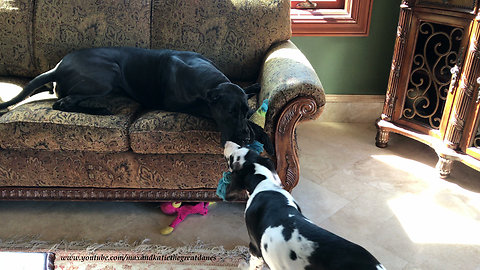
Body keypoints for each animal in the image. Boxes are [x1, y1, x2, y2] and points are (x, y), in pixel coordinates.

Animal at [0, 46, 272, 152]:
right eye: (228, 112)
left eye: (245, 111)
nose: (245, 139)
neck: (210, 81)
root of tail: (57, 67)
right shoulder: (185, 104)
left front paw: (261, 135)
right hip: (110, 72)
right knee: (63, 102)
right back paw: (102, 111)